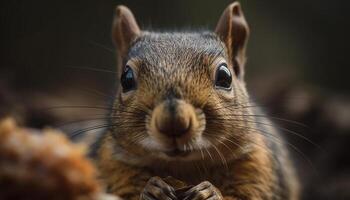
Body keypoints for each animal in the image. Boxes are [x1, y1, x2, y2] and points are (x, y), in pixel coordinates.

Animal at [92, 1, 298, 200]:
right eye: (126, 79)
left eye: (225, 77)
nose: (173, 122)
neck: (184, 167)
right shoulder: (112, 164)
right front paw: (151, 189)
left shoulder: (258, 166)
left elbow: (247, 195)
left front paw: (210, 192)